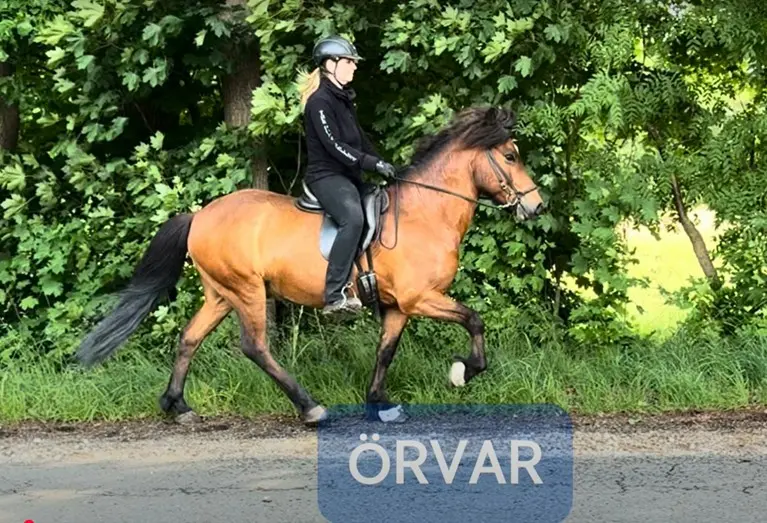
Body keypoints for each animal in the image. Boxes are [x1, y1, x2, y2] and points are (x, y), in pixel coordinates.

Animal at [75, 105, 545, 426]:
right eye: (510, 156)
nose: (537, 206)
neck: (424, 213)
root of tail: (199, 216)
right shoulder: (420, 298)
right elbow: (474, 320)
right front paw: (463, 372)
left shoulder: (398, 306)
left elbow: (386, 351)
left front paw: (379, 401)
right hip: (248, 290)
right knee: (254, 347)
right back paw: (310, 406)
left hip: (222, 294)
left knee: (189, 338)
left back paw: (177, 405)